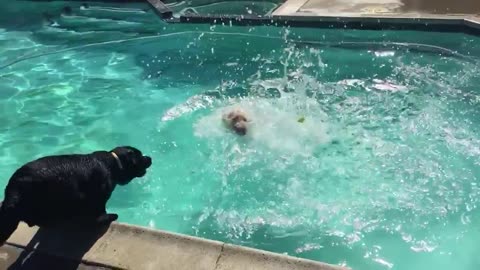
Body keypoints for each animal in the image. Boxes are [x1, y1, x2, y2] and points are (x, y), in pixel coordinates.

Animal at [0, 147, 151, 246]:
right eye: (140, 156)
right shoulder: (99, 198)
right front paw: (108, 217)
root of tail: (13, 189)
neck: (113, 163)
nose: (150, 158)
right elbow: (100, 213)